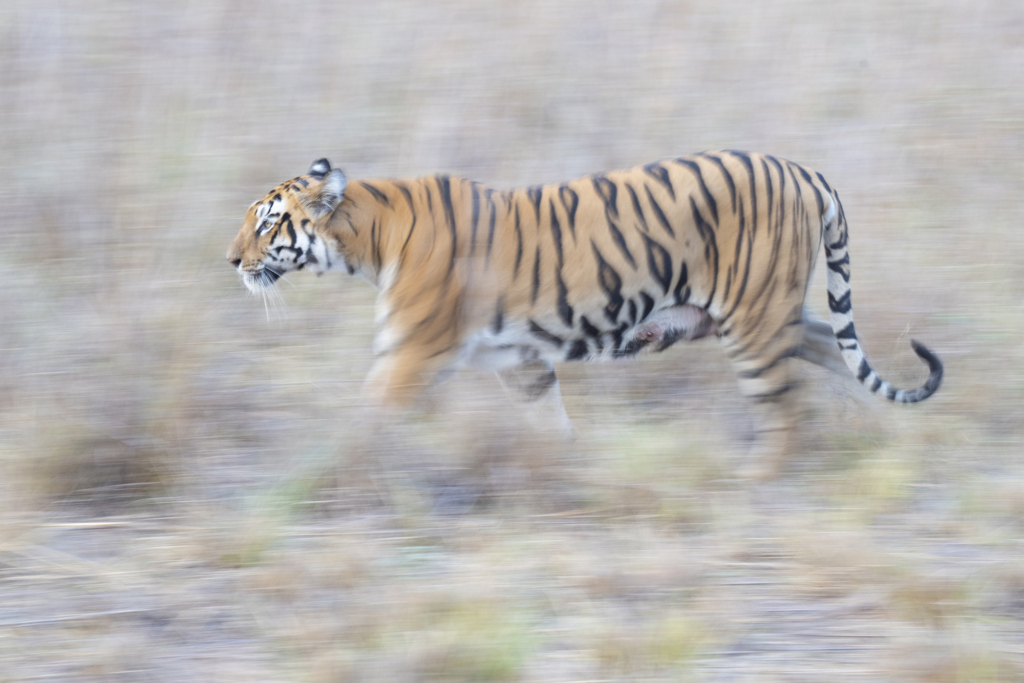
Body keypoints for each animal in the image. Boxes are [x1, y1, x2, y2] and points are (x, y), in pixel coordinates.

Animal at [226, 154, 942, 479]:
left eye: (266, 224)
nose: (230, 260)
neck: (369, 240)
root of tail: (804, 169)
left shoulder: (407, 355)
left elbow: (361, 420)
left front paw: (320, 475)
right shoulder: (521, 363)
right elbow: (552, 425)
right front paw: (568, 474)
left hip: (755, 321)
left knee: (786, 409)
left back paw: (754, 479)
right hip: (772, 314)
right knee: (832, 346)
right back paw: (876, 431)